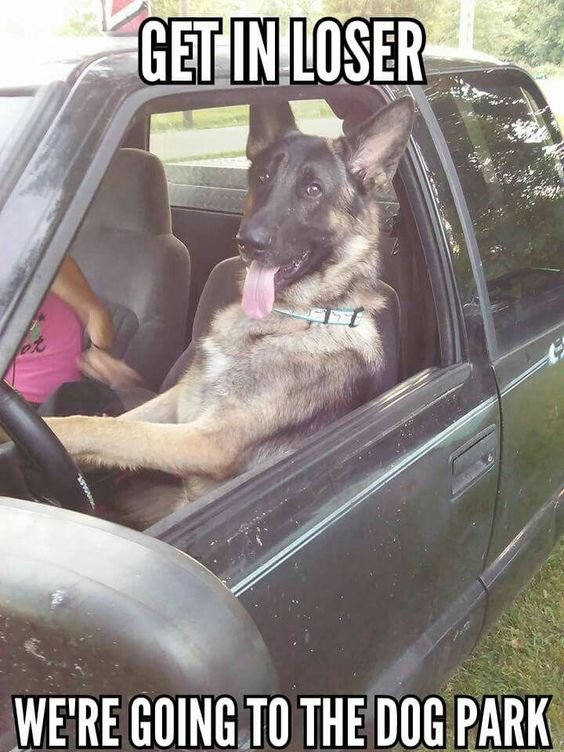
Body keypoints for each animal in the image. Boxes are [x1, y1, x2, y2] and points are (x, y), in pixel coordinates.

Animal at [34, 95, 414, 528]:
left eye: (313, 190)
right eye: (263, 177)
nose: (248, 242)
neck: (289, 322)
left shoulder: (206, 442)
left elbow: (105, 431)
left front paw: (47, 429)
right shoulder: (177, 400)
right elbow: (114, 424)